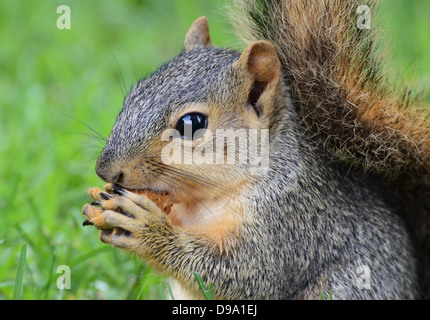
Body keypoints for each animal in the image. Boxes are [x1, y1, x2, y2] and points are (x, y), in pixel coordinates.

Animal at [81, 0, 430, 300]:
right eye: (133, 94)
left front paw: (147, 228)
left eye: (193, 123)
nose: (105, 169)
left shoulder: (291, 223)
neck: (202, 201)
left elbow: (246, 275)